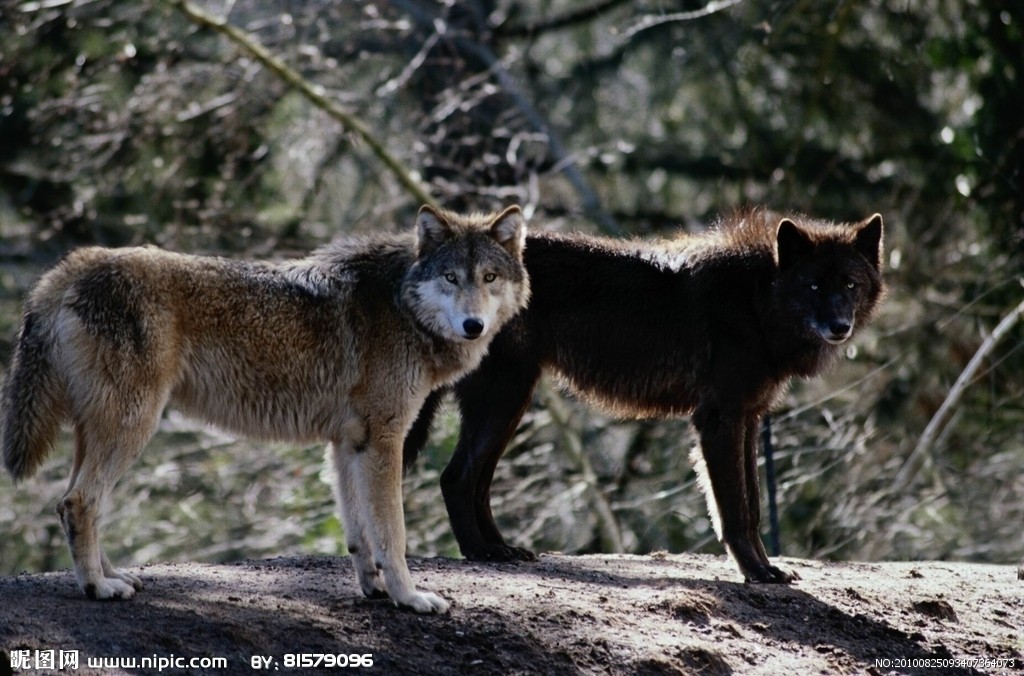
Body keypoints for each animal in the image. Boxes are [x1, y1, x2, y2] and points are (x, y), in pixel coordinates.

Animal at [0, 203, 528, 610]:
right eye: (450, 277)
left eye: (489, 277)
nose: (474, 325)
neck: (401, 303)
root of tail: (75, 263)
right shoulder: (384, 439)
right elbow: (392, 535)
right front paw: (410, 598)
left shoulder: (348, 443)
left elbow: (360, 533)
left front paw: (375, 590)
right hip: (133, 426)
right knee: (78, 501)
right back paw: (96, 588)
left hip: (101, 430)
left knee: (72, 502)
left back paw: (114, 576)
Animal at [403, 208, 884, 581]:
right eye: (813, 286)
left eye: (850, 285)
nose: (839, 327)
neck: (757, 299)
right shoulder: (719, 419)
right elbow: (734, 509)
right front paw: (755, 572)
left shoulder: (748, 417)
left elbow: (753, 507)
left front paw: (766, 569)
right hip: (504, 397)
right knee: (456, 477)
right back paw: (480, 553)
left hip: (511, 402)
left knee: (477, 482)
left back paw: (503, 550)